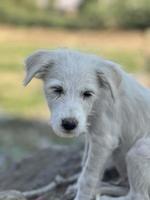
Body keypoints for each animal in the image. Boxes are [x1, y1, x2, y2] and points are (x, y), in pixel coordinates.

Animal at [23, 48, 150, 200]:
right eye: (57, 90)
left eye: (87, 93)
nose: (69, 124)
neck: (99, 98)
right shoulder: (91, 135)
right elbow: (84, 165)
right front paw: (77, 187)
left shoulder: (104, 140)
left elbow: (88, 176)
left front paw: (82, 195)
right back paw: (101, 189)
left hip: (139, 150)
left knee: (138, 195)